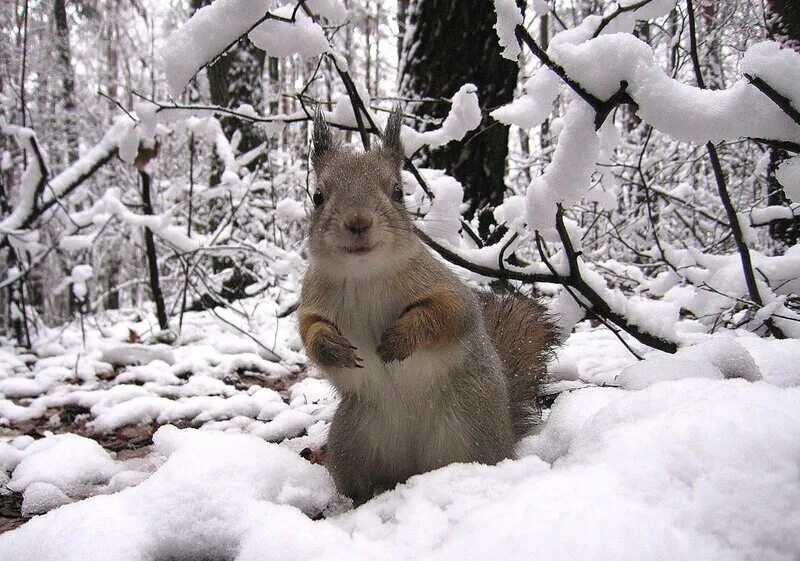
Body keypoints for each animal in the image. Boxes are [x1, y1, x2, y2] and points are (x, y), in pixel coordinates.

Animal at [296, 105, 556, 504]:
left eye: (397, 192)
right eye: (318, 196)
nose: (358, 222)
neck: (364, 276)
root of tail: (412, 467)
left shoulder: (443, 286)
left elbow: (448, 314)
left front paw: (400, 339)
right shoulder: (312, 300)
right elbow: (309, 331)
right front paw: (331, 347)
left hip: (470, 426)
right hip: (353, 439)